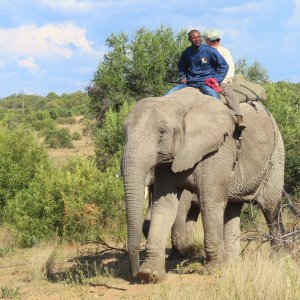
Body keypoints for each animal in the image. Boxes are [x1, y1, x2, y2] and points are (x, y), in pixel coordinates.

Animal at [121, 86, 284, 282]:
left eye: (162, 132)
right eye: (124, 131)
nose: (134, 272)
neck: (176, 103)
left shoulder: (218, 149)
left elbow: (209, 202)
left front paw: (211, 270)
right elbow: (164, 204)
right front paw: (150, 274)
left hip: (276, 153)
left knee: (270, 208)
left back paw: (279, 258)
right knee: (232, 209)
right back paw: (232, 262)